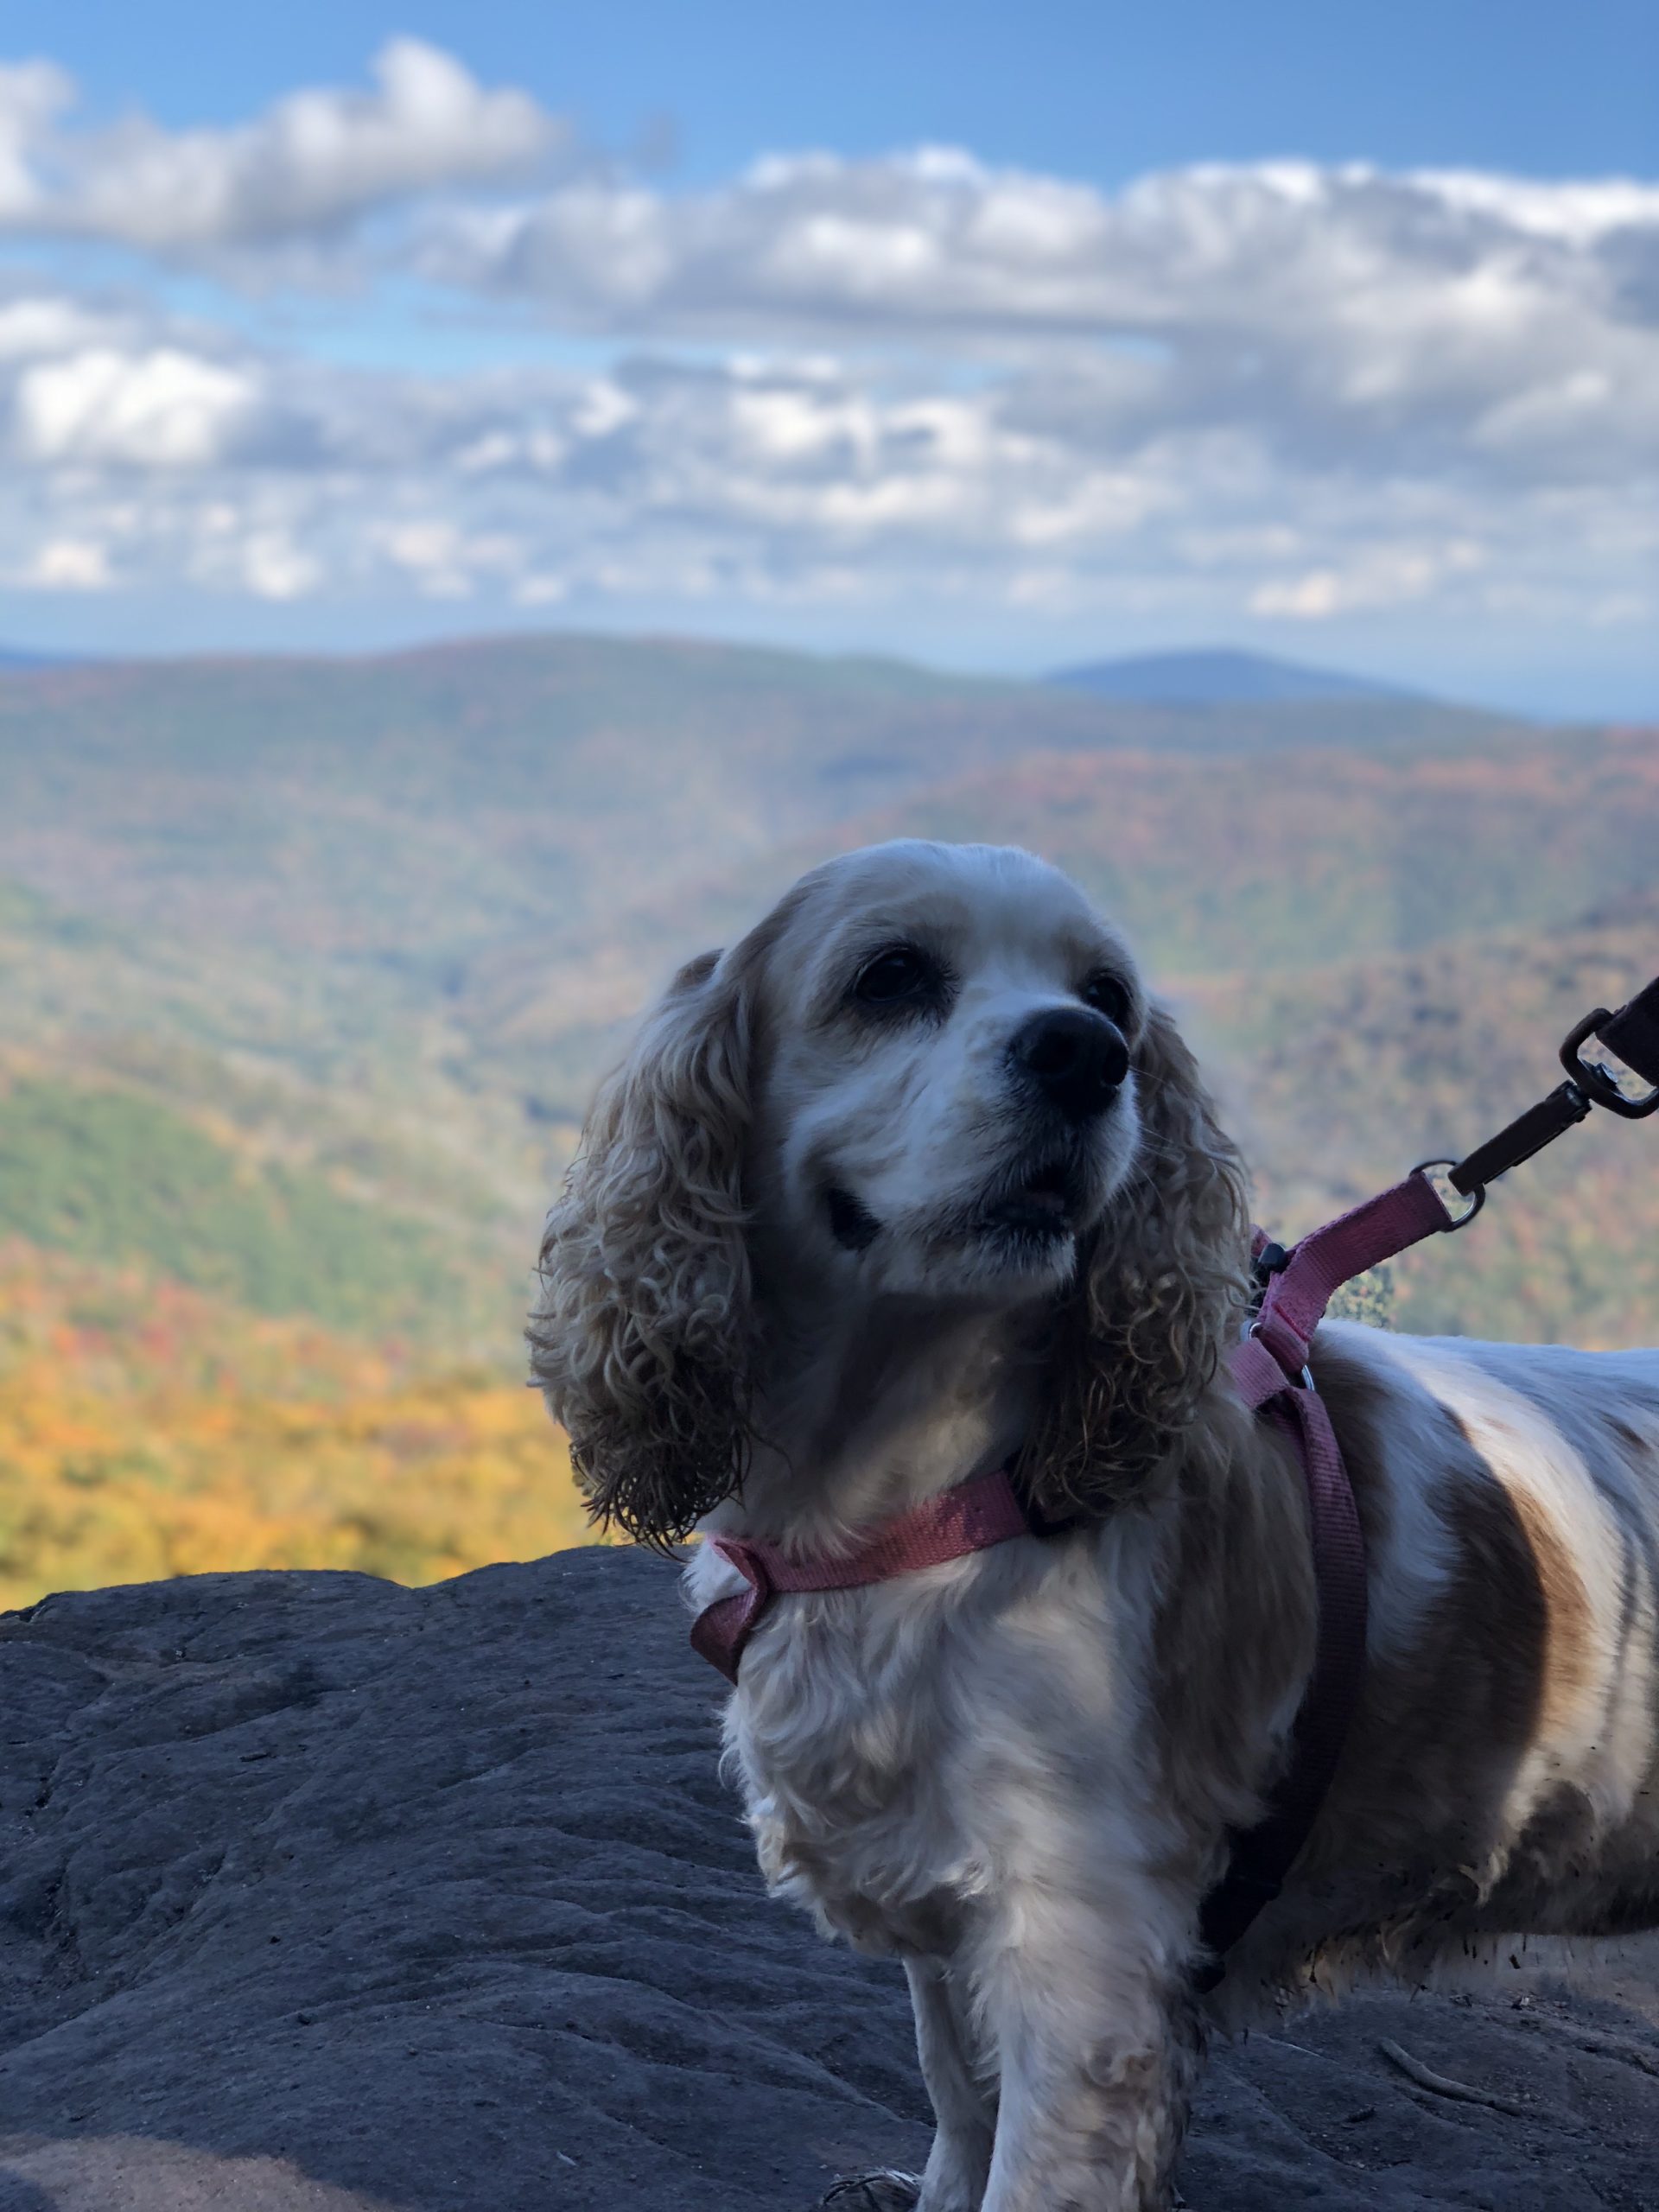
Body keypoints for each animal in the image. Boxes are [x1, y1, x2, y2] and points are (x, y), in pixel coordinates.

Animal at [528, 840, 1659, 2212]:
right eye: (890, 975)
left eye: (1109, 996)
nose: (1083, 1053)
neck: (930, 1490)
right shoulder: (944, 1905)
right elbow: (954, 2097)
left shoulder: (1084, 1968)